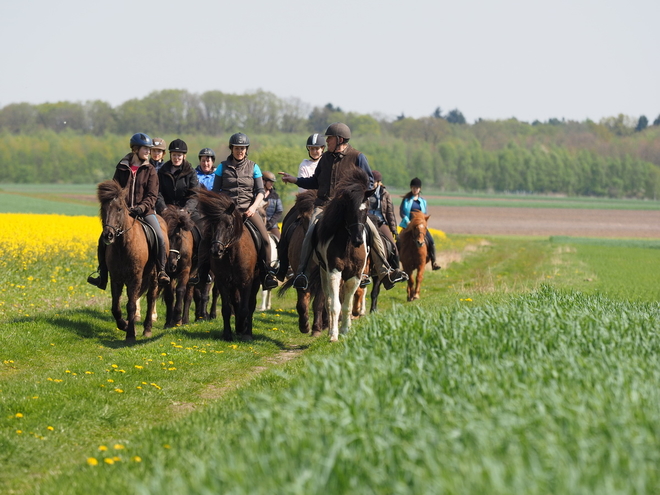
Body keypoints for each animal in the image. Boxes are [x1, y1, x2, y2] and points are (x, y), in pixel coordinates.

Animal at [95, 181, 169, 340]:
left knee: (151, 298)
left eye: (119, 209)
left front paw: (130, 334)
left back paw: (147, 328)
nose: (108, 236)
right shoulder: (116, 278)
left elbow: (131, 305)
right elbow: (115, 307)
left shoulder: (135, 278)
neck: (123, 245)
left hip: (154, 276)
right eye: (103, 208)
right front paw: (124, 325)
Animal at [196, 188, 260, 342]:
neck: (231, 254)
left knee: (250, 305)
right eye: (213, 226)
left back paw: (246, 330)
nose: (216, 250)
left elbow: (245, 308)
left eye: (229, 225)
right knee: (235, 302)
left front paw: (244, 330)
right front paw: (228, 334)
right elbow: (226, 308)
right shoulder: (223, 281)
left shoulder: (247, 282)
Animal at [278, 190, 328, 338]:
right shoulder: (300, 275)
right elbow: (302, 302)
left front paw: (316, 329)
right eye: (304, 218)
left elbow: (319, 303)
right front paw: (304, 326)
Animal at [314, 169, 372, 342]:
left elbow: (347, 305)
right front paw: (334, 335)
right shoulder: (334, 272)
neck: (347, 244)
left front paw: (345, 330)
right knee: (328, 300)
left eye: (366, 209)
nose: (358, 240)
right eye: (349, 208)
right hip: (324, 272)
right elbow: (334, 305)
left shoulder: (355, 275)